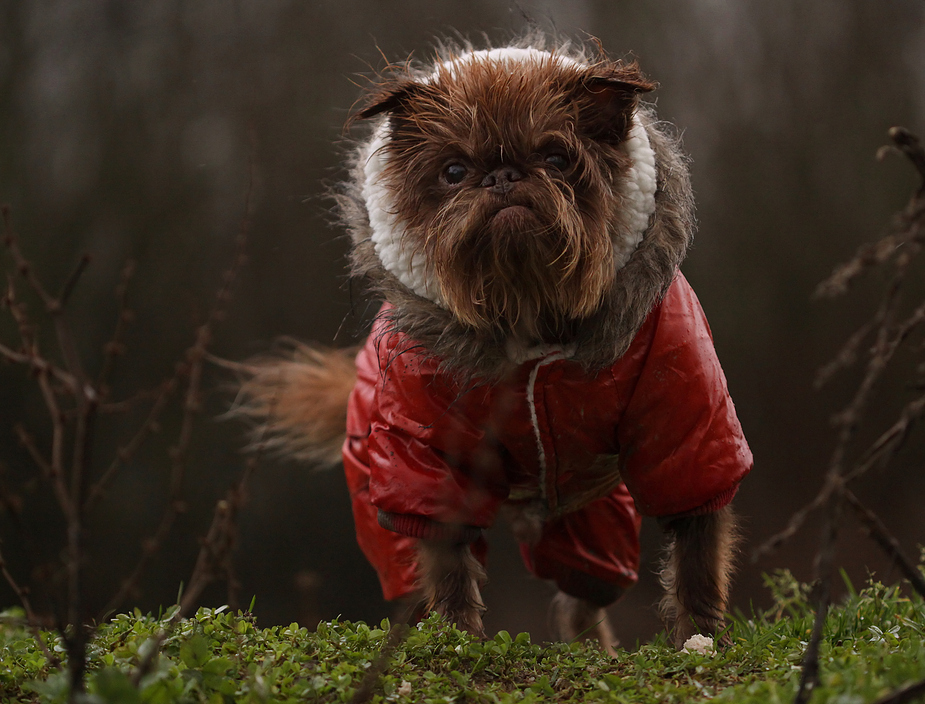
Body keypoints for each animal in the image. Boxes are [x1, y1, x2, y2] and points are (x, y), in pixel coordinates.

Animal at [238, 37, 752, 656]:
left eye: (557, 159)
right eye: (454, 171)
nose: (503, 176)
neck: (527, 315)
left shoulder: (687, 430)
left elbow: (697, 546)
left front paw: (700, 633)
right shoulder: (427, 465)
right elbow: (447, 560)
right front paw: (457, 635)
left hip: (594, 527)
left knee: (583, 593)